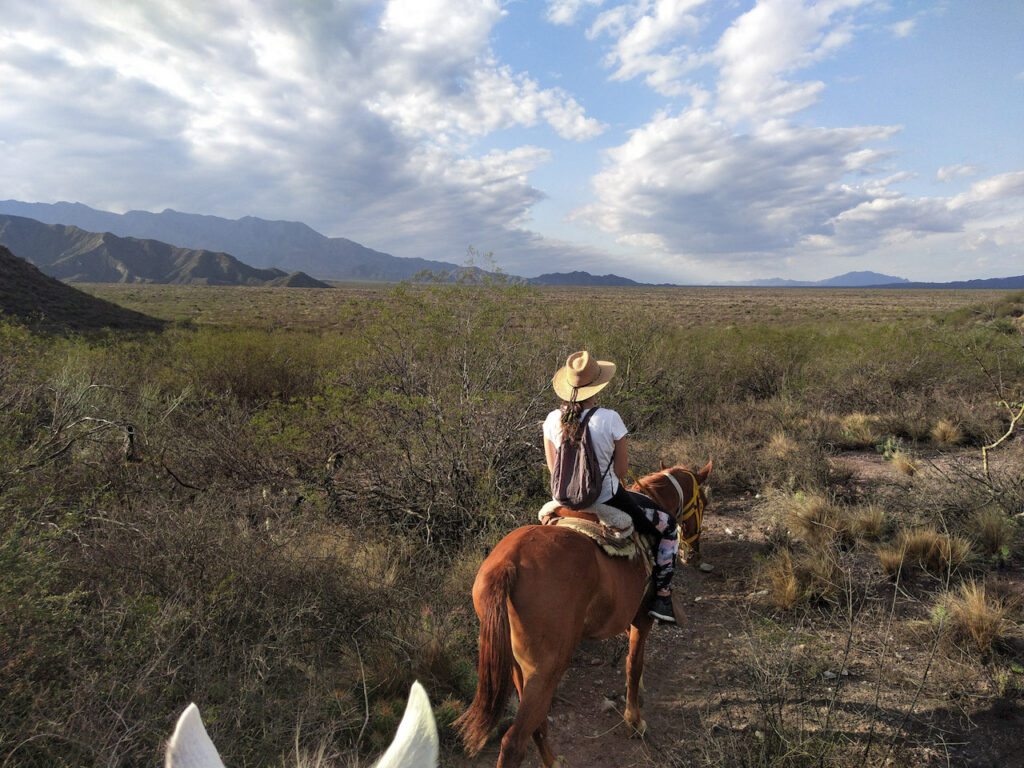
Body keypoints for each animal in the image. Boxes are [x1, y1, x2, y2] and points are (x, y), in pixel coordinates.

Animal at [456, 460, 712, 765]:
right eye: (704, 501)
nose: (693, 552)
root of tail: (507, 563)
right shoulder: (641, 618)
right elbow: (633, 664)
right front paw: (634, 720)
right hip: (546, 668)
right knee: (513, 742)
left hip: (517, 667)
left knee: (536, 724)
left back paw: (554, 761)